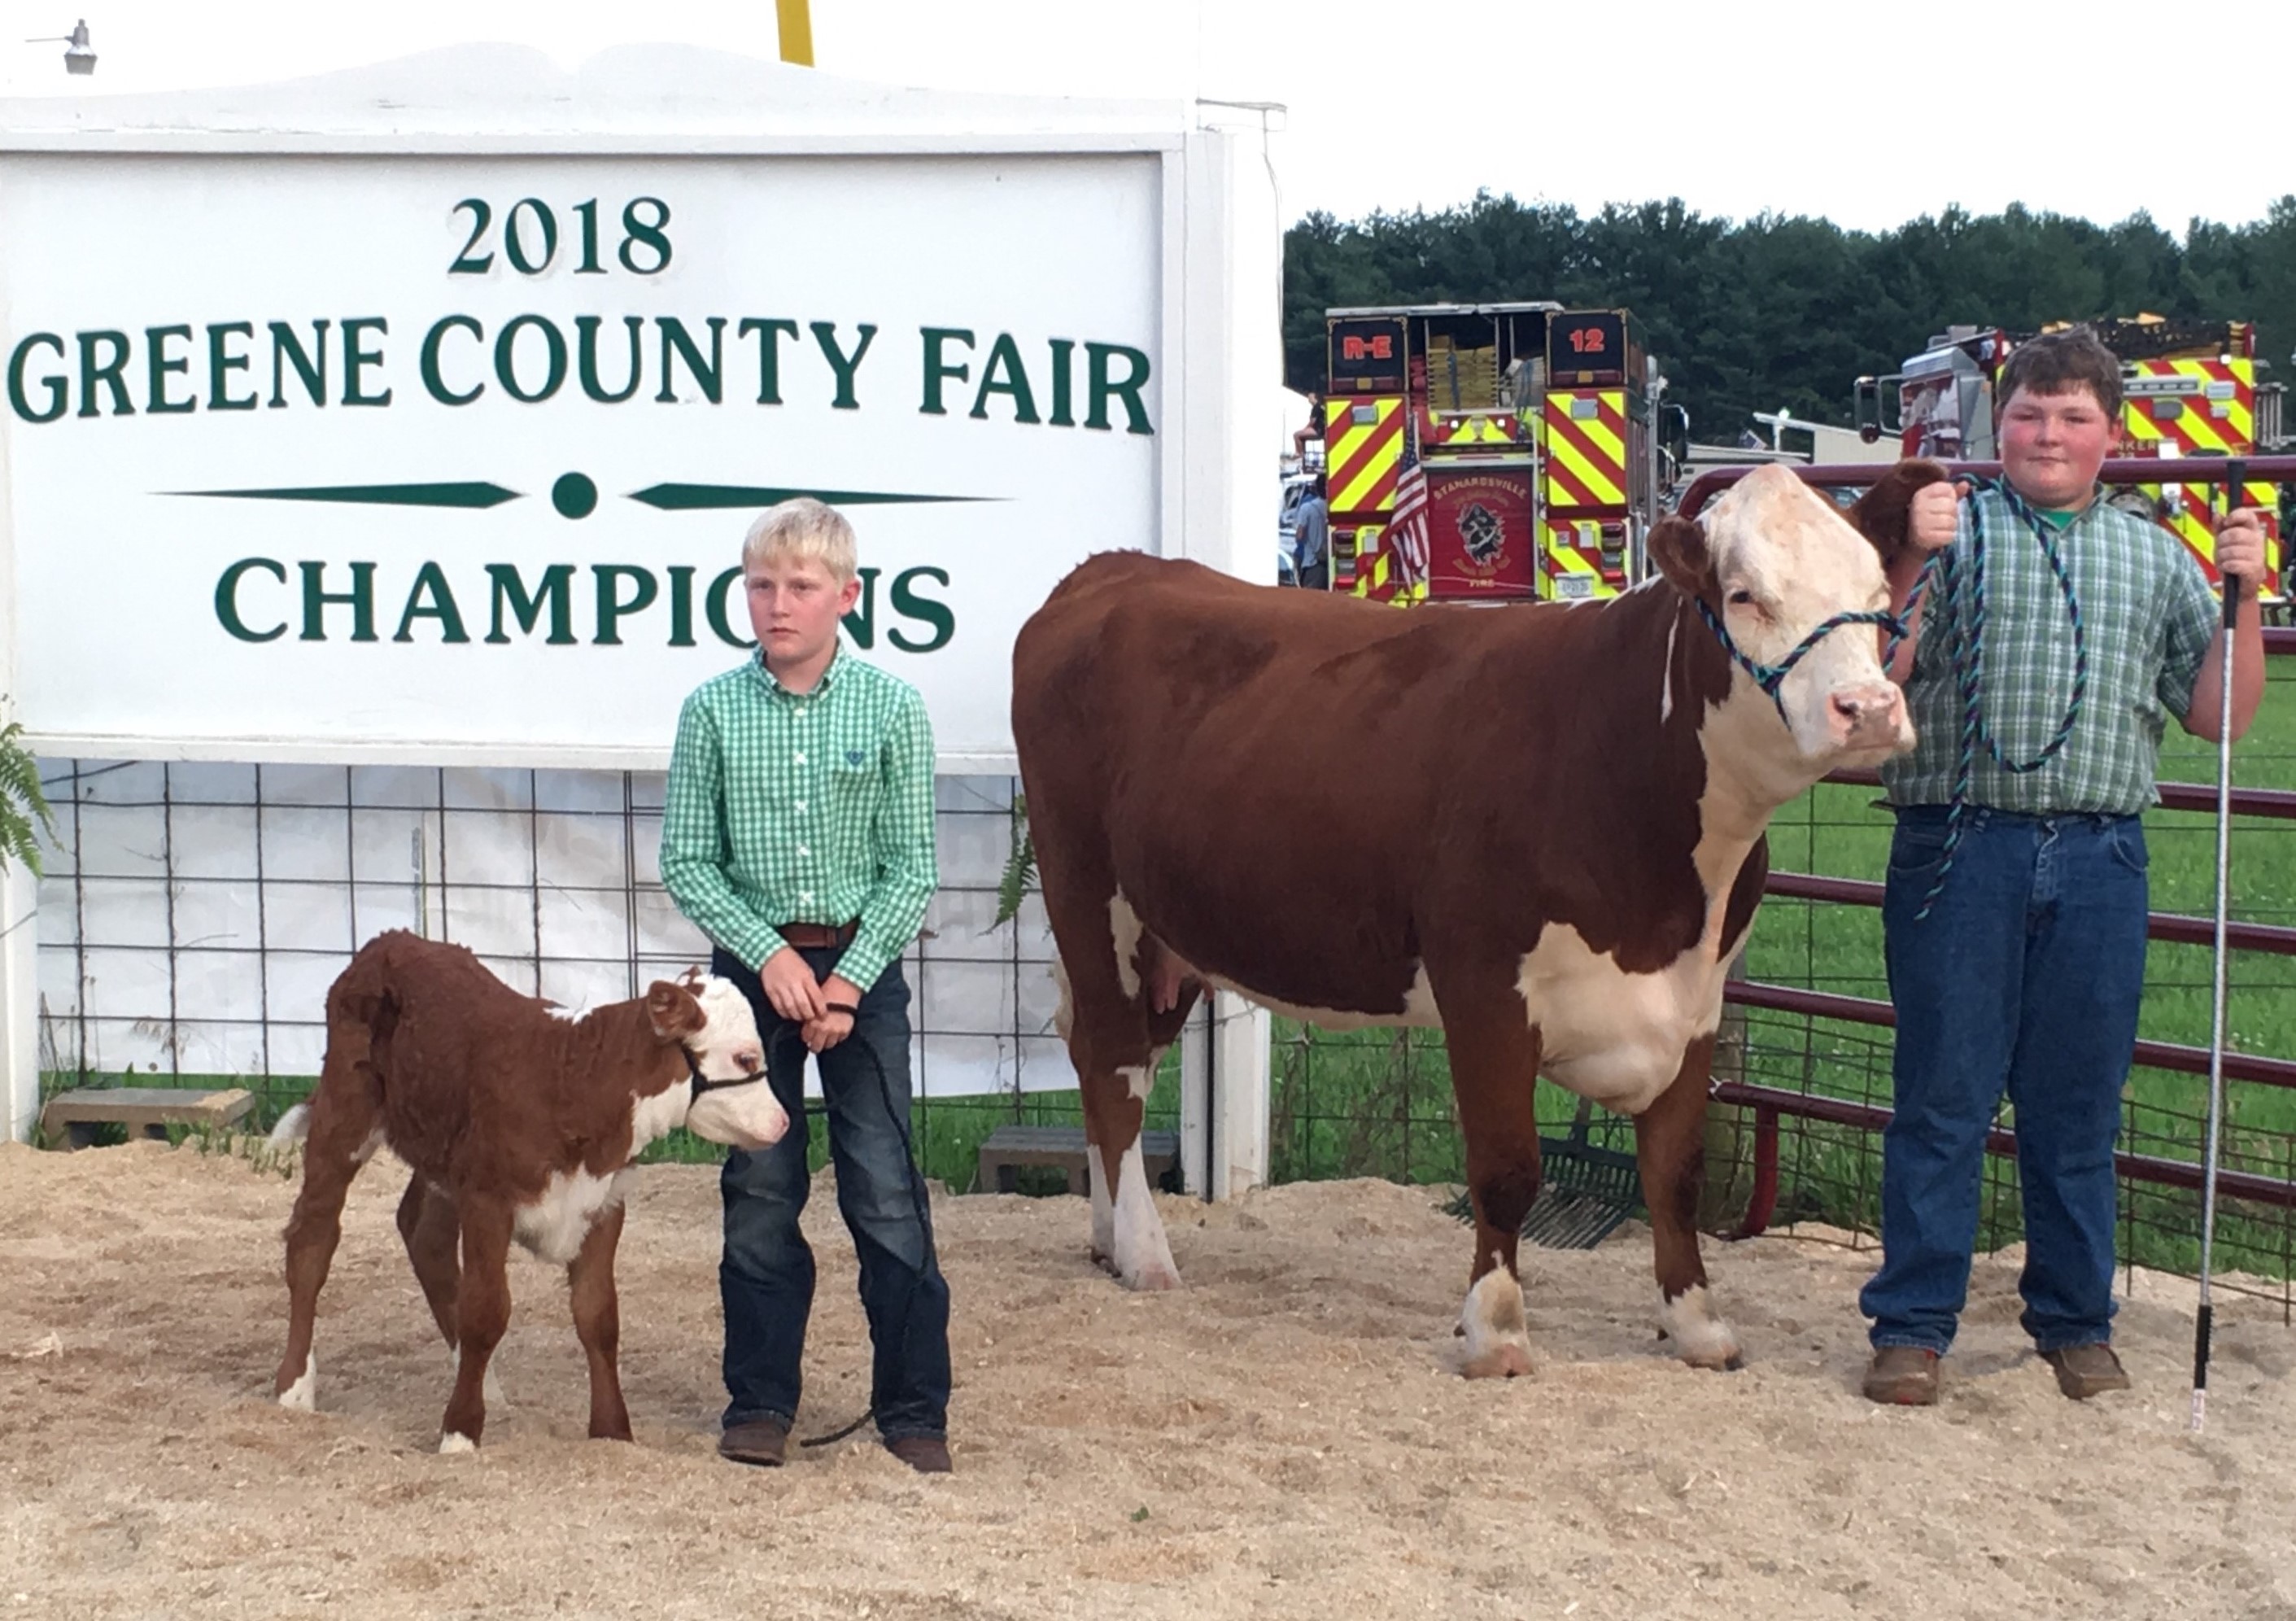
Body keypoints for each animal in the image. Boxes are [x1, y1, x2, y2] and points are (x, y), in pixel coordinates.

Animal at [266, 927, 789, 1441]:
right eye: (745, 1057)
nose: (782, 1122)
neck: (573, 1080)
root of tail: (389, 941)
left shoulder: (604, 1203)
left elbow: (598, 1315)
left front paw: (612, 1433)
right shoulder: (487, 1200)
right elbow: (486, 1311)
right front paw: (460, 1434)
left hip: (441, 1151)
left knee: (423, 1234)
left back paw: (487, 1388)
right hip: (345, 1112)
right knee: (313, 1237)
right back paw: (294, 1389)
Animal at [1015, 461, 1947, 1368]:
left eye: (1877, 590)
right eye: (1746, 594)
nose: (1867, 708)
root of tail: (1112, 570)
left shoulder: (1697, 1000)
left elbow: (1673, 1170)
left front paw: (1694, 1325)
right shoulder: (1484, 984)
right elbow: (1506, 1168)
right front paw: (1495, 1330)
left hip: (1168, 936)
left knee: (1108, 1065)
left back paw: (1106, 1238)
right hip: (1087, 895)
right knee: (1114, 1070)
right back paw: (1144, 1253)